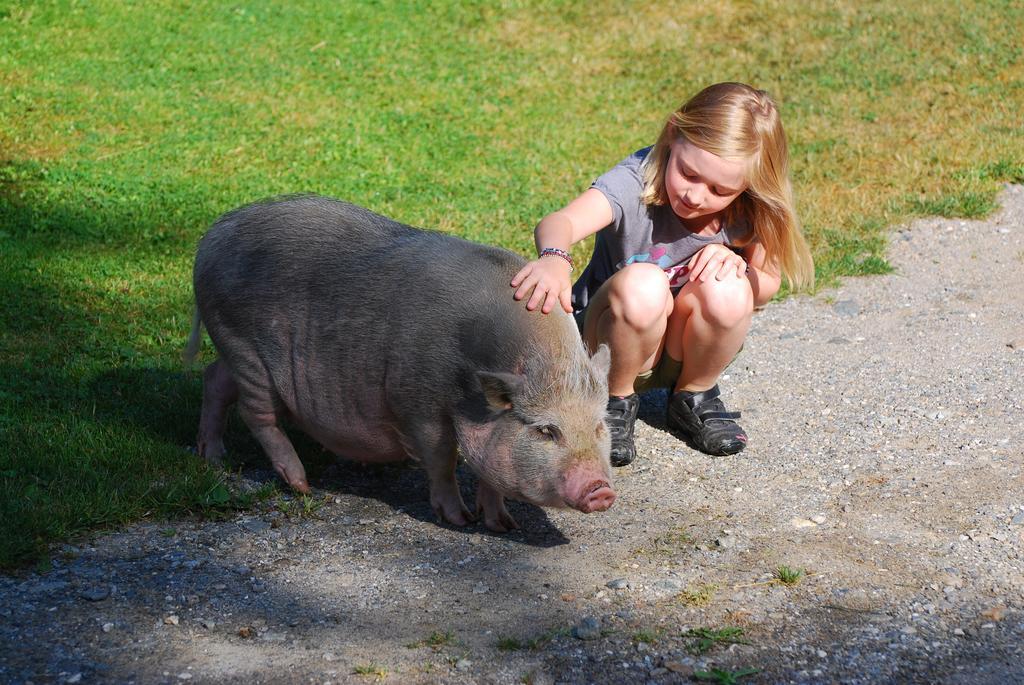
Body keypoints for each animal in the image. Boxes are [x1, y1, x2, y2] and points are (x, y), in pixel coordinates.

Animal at [184, 194, 614, 532]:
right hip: (244, 347)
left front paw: (503, 525)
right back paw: (299, 484)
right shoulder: (416, 402)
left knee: (213, 378)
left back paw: (214, 458)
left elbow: (489, 472)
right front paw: (459, 520)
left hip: (233, 351)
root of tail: (211, 236)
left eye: (597, 427)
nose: (603, 491)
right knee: (256, 414)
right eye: (546, 431)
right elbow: (441, 458)